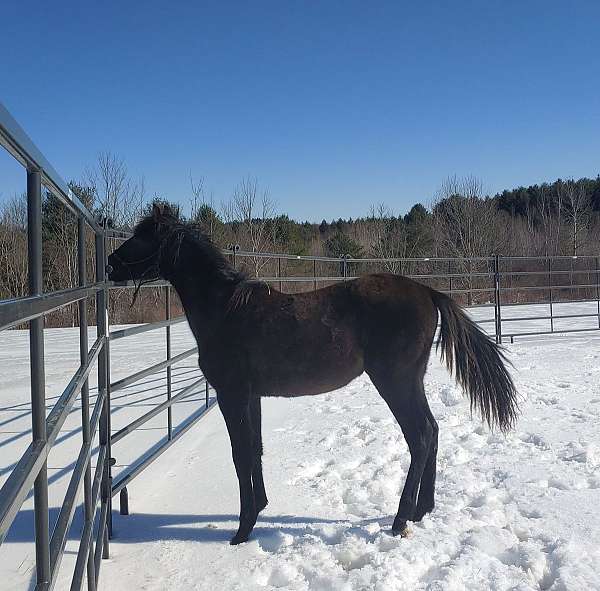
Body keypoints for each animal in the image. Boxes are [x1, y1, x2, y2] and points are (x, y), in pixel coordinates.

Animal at [106, 205, 516, 544]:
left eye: (143, 235)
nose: (110, 264)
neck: (226, 310)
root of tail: (428, 292)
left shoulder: (231, 395)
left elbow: (240, 456)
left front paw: (242, 530)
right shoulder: (251, 396)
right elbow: (255, 448)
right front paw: (260, 508)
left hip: (395, 381)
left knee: (419, 437)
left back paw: (400, 520)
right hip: (411, 381)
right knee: (432, 430)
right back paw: (421, 511)